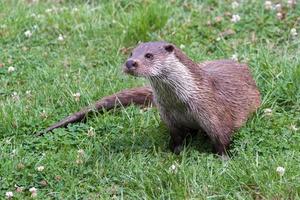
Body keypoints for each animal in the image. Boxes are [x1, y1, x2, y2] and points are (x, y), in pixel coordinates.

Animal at [39, 41, 260, 155]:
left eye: (149, 55)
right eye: (131, 53)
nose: (130, 63)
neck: (180, 104)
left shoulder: (214, 115)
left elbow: (222, 139)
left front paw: (223, 158)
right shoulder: (169, 117)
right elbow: (176, 137)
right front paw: (175, 152)